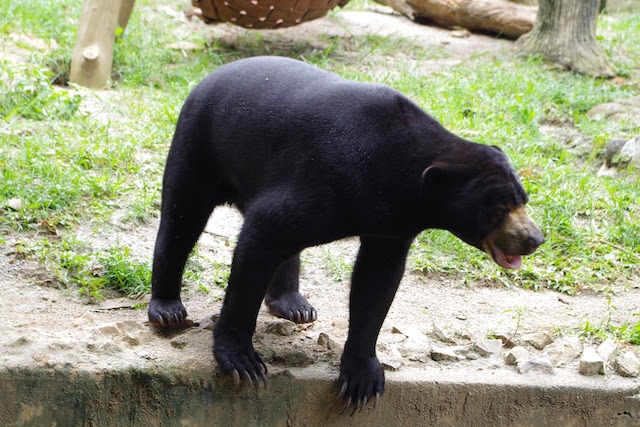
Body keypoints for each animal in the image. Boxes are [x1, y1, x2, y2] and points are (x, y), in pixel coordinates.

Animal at [150, 56, 544, 414]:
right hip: (199, 142)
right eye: (499, 208)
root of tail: (210, 75)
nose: (535, 239)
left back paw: (294, 305)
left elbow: (376, 283)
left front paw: (362, 381)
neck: (398, 176)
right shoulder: (327, 176)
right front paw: (242, 362)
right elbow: (264, 232)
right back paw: (167, 310)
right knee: (182, 216)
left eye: (523, 200)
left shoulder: (392, 227)